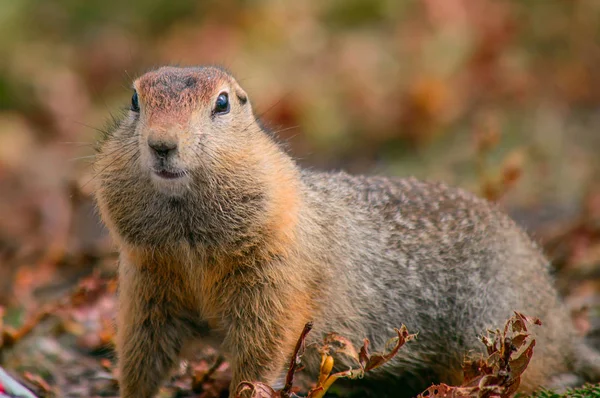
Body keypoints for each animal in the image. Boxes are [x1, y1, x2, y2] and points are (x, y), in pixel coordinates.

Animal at [92, 67, 600, 396]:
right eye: (135, 100)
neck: (189, 245)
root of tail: (559, 320)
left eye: (221, 103)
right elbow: (140, 355)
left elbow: (262, 351)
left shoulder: (273, 282)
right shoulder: (147, 285)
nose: (161, 144)